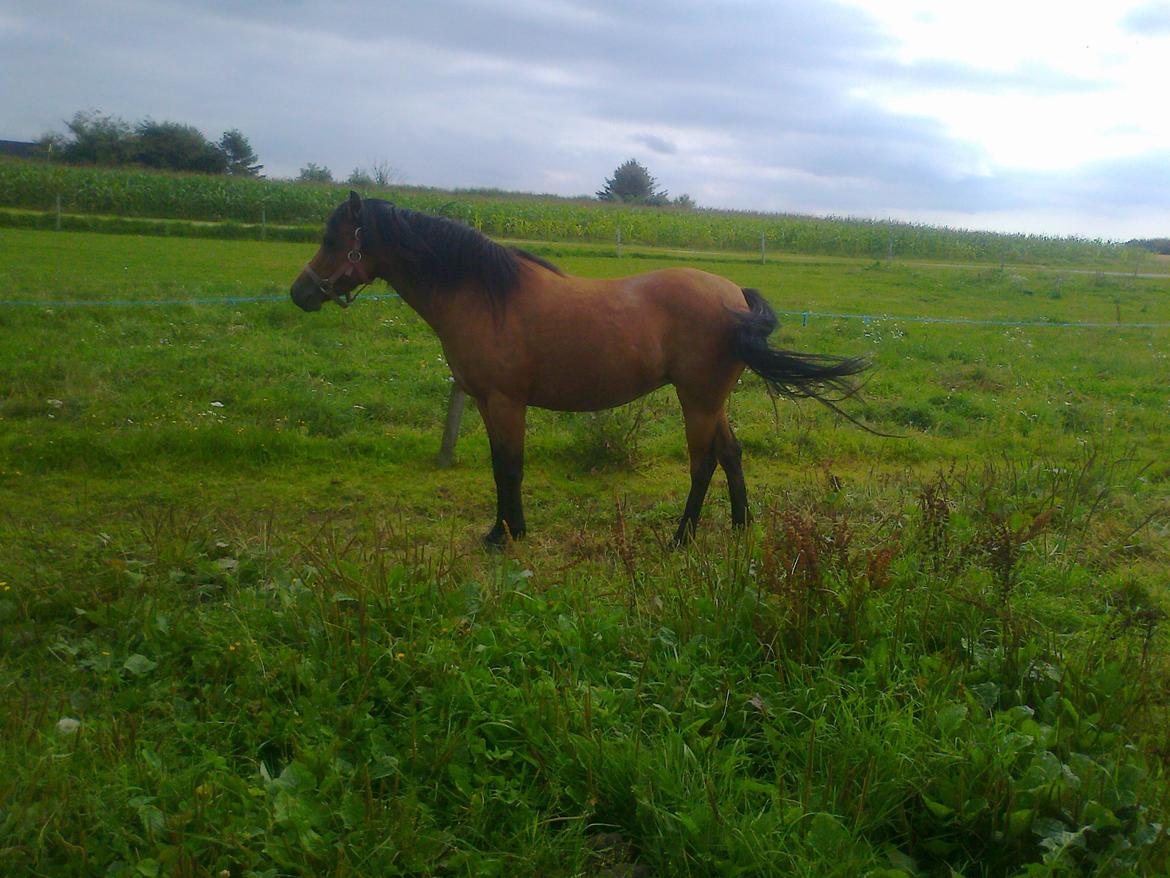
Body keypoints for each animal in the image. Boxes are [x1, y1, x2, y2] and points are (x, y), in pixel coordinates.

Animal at [290, 192, 869, 547]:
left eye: (333, 239)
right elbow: (501, 467)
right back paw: (741, 527)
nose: (300, 293)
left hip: (697, 399)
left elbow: (508, 467)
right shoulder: (485, 401)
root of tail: (734, 296)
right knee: (731, 455)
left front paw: (506, 535)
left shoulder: (504, 402)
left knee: (703, 463)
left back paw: (681, 538)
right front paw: (503, 529)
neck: (485, 296)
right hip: (711, 400)